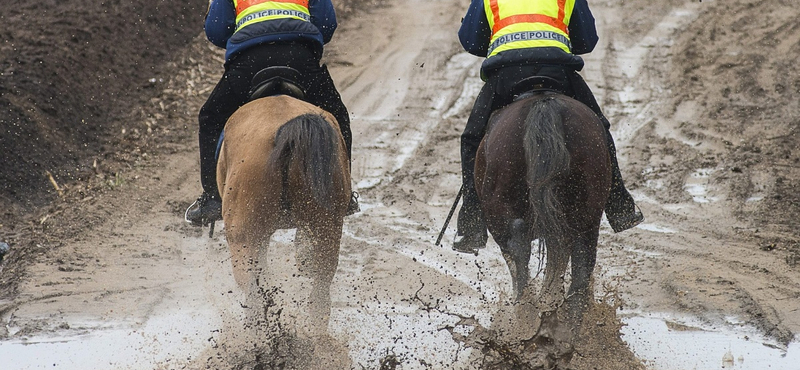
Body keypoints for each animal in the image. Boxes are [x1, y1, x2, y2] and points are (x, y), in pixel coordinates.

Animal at [478, 90, 608, 350]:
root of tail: (544, 104)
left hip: (503, 208)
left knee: (519, 247)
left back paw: (524, 319)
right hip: (586, 216)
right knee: (581, 263)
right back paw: (565, 333)